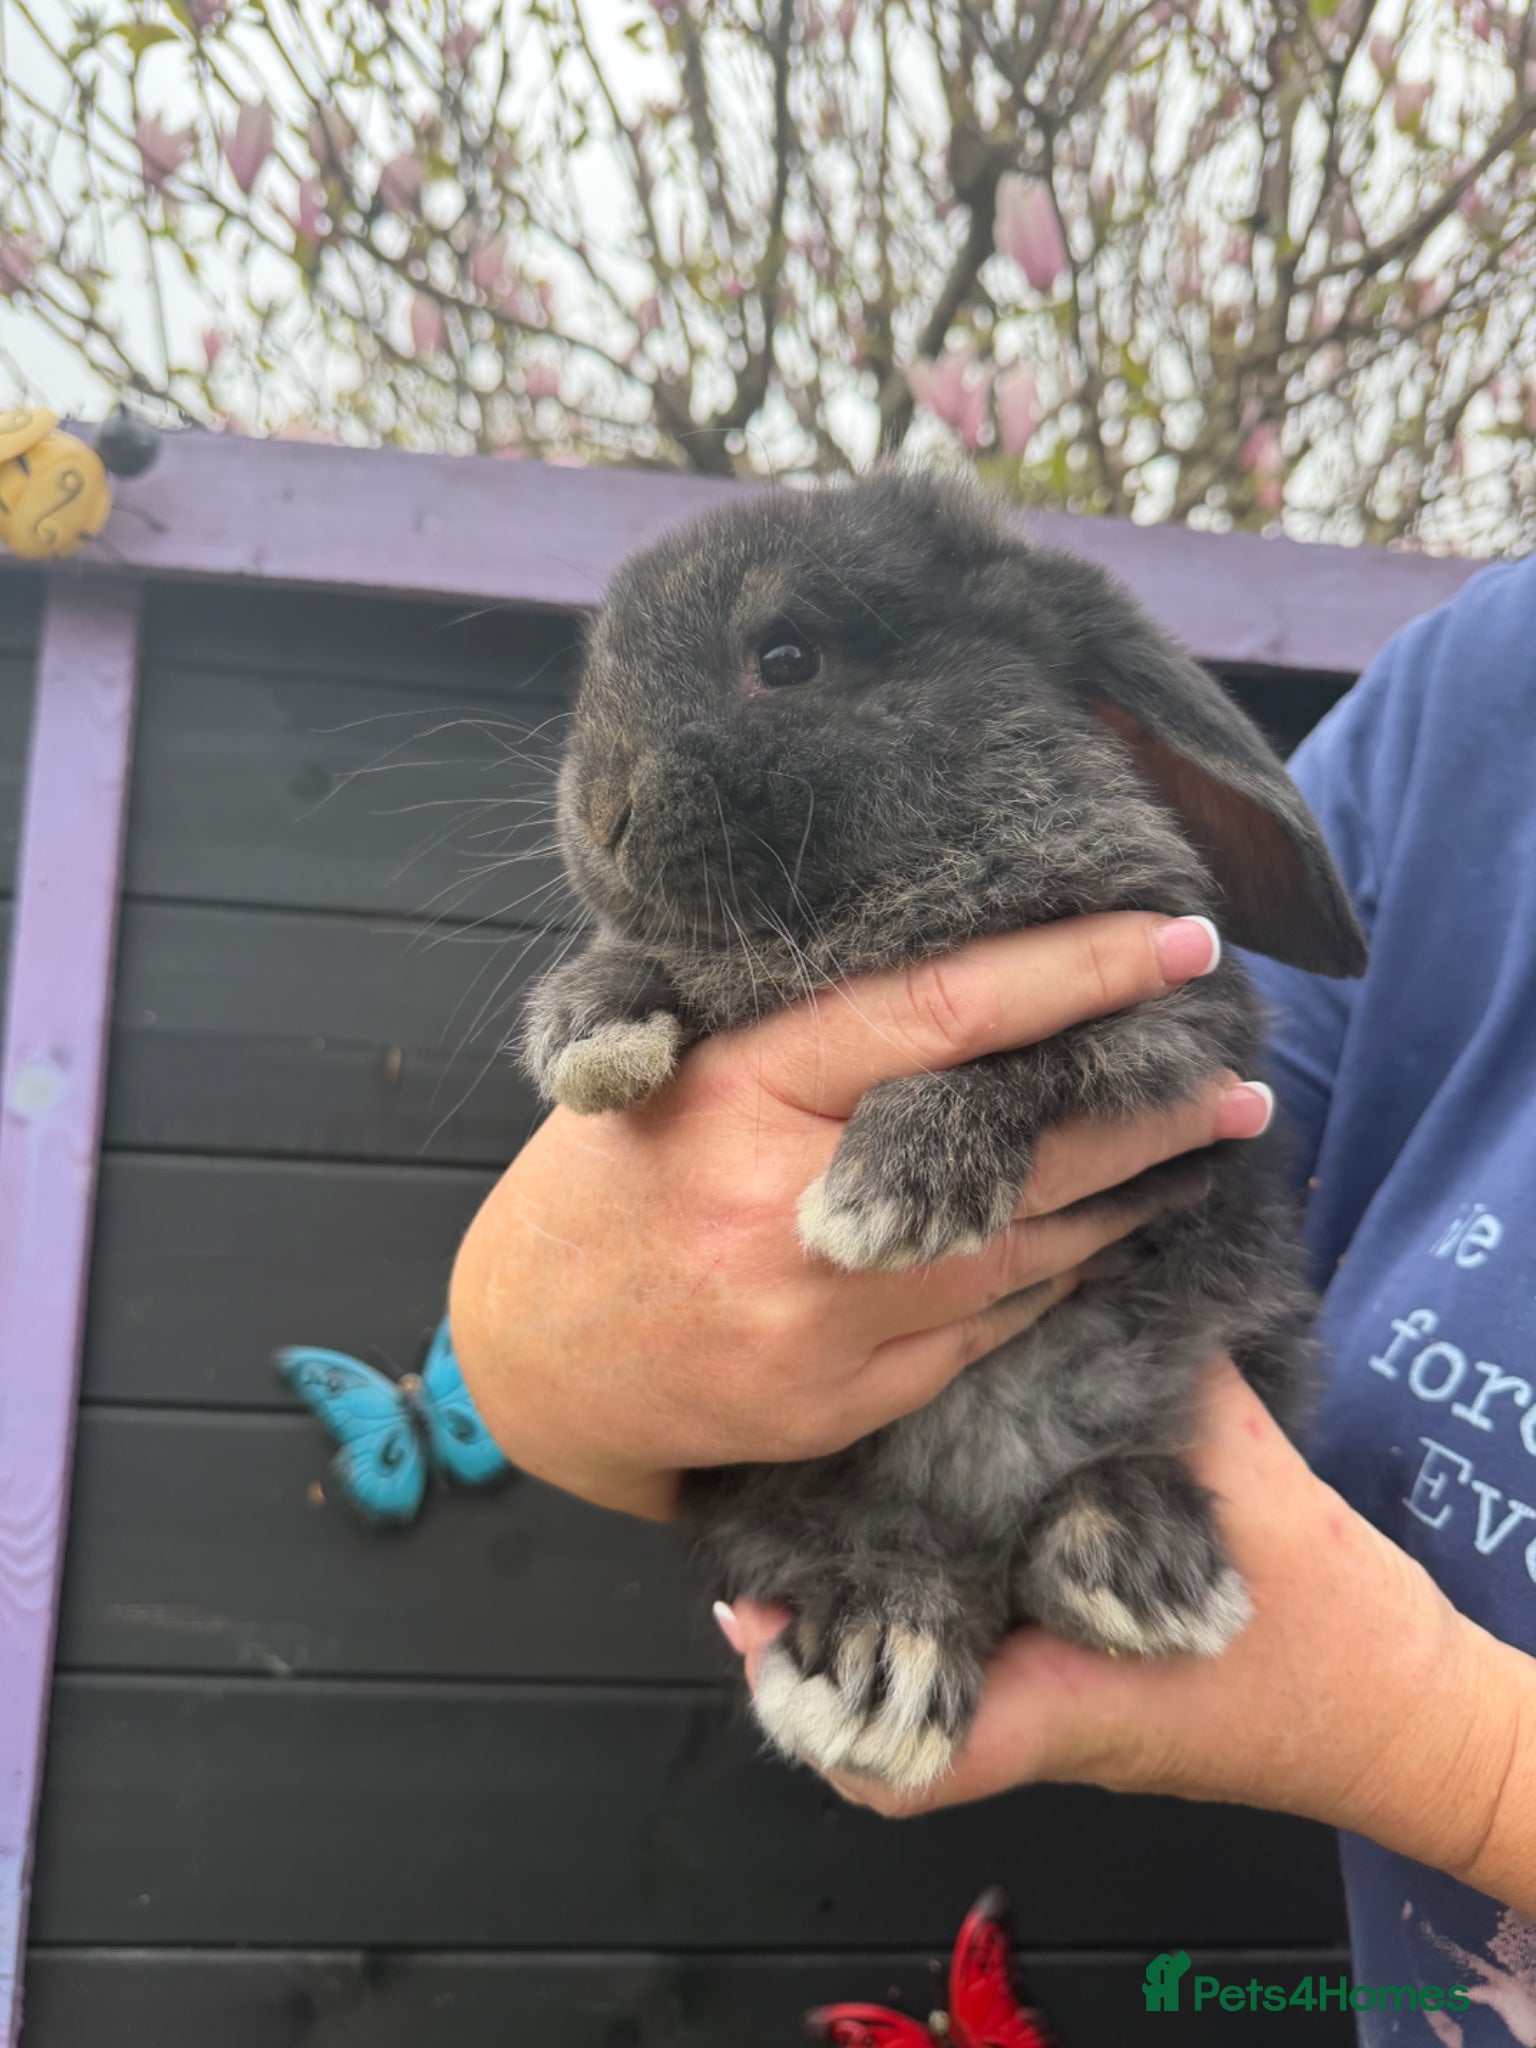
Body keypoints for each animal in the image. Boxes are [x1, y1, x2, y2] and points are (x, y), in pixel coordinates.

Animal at [519, 468, 1366, 1794]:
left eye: (788, 654)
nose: (600, 813)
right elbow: (651, 968)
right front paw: (590, 1032)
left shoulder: (1173, 1026)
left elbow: (1023, 1057)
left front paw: (887, 1197)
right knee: (862, 1554)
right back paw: (887, 1654)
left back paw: (1134, 1556)